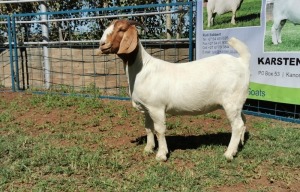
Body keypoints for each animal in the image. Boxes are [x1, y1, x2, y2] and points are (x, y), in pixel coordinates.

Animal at [98, 19, 251, 161]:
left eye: (121, 29)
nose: (102, 44)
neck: (142, 69)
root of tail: (242, 62)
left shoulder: (156, 107)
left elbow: (159, 130)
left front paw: (161, 154)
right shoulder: (147, 108)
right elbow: (148, 128)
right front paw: (148, 149)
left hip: (231, 101)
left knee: (237, 125)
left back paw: (229, 153)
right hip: (237, 102)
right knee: (243, 120)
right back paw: (240, 145)